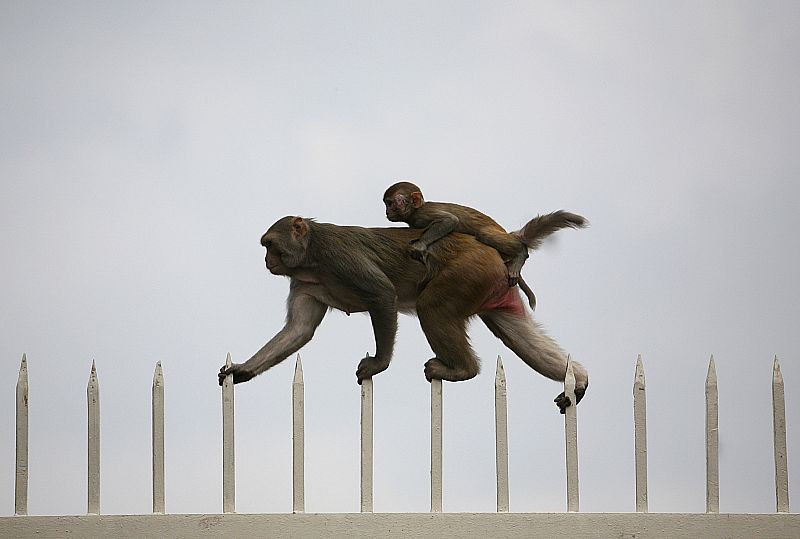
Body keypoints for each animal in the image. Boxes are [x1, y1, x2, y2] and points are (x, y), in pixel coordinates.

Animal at [219, 213, 588, 412]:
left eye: (270, 245)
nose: (266, 260)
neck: (311, 257)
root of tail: (493, 248)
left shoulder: (337, 254)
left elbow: (383, 294)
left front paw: (378, 365)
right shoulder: (302, 281)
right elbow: (299, 330)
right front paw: (242, 370)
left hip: (469, 271)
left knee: (431, 308)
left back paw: (462, 370)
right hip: (493, 285)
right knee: (514, 333)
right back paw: (579, 380)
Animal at [382, 180, 536, 308]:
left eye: (390, 204)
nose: (387, 212)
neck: (416, 210)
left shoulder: (422, 215)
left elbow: (450, 220)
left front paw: (420, 245)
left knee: (484, 234)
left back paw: (521, 253)